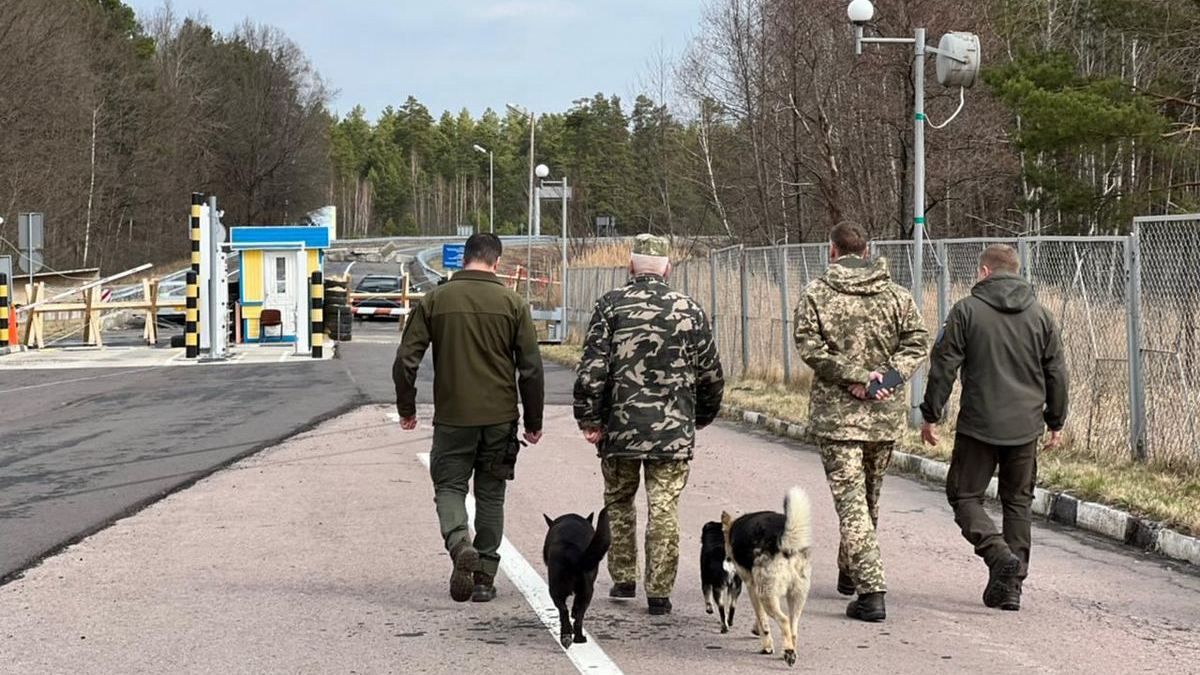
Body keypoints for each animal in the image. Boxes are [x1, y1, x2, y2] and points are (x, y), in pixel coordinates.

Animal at [544, 504, 609, 648]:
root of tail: (572, 552)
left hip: (558, 590)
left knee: (565, 611)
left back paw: (568, 636)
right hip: (586, 591)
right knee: (577, 615)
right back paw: (576, 637)